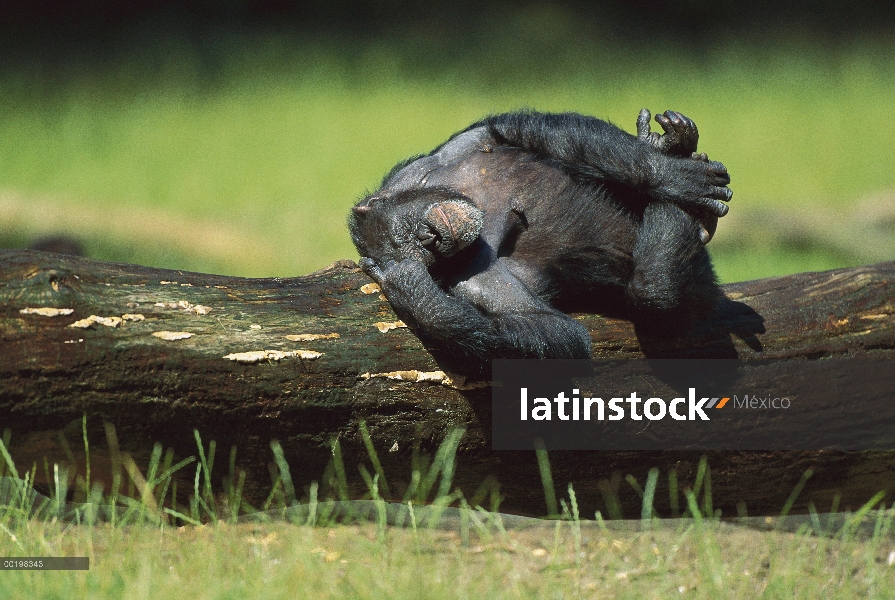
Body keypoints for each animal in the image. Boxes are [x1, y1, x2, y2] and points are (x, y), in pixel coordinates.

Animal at [346, 108, 732, 358]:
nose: (431, 239)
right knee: (655, 291)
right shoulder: (472, 281)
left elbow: (526, 130)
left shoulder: (442, 157)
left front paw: (669, 173)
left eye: (408, 235)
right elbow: (549, 328)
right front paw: (410, 289)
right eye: (419, 255)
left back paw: (670, 148)